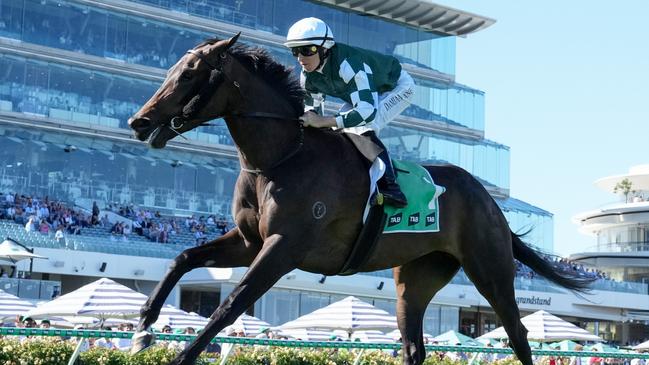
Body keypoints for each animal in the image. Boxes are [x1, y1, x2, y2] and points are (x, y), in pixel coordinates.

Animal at [126, 34, 592, 364]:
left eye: (189, 74)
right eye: (172, 68)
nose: (139, 121)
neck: (281, 157)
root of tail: (489, 201)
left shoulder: (283, 248)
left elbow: (231, 304)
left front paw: (178, 354)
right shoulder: (249, 242)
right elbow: (183, 258)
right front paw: (143, 327)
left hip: (490, 269)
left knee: (518, 335)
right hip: (415, 280)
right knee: (414, 347)